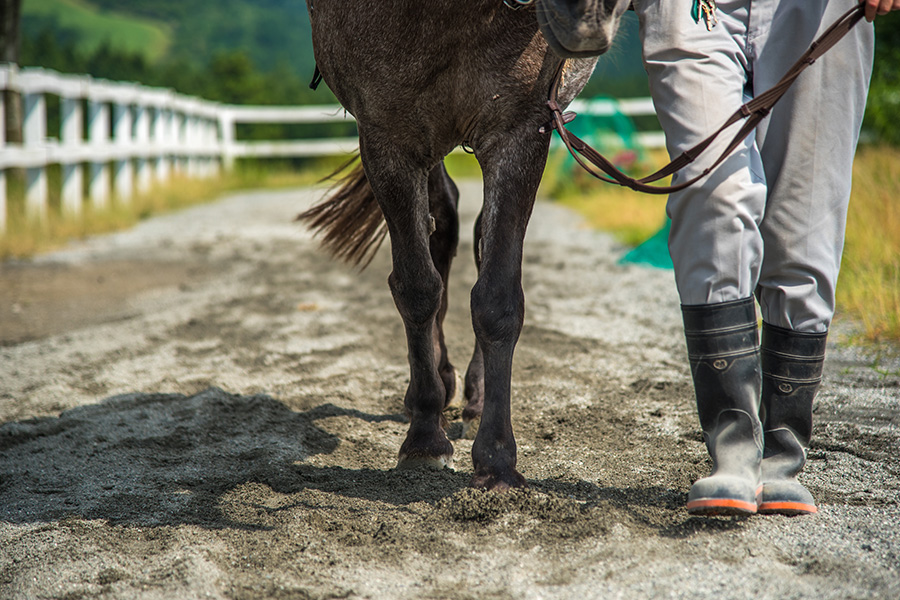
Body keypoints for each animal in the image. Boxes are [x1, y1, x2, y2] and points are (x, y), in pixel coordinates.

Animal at [298, 0, 628, 490]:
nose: (590, 14)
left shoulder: (520, 130)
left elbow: (497, 299)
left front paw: (496, 459)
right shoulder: (387, 137)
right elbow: (418, 288)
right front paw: (424, 438)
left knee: (474, 240)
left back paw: (474, 396)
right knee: (444, 223)